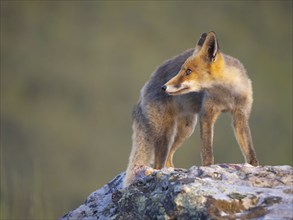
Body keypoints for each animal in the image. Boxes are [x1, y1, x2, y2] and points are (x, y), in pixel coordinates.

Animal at [123, 30, 258, 186]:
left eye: (188, 71)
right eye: (181, 70)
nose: (163, 87)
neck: (226, 95)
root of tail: (147, 85)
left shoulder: (240, 116)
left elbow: (250, 151)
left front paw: (255, 167)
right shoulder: (207, 114)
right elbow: (207, 151)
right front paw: (208, 169)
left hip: (185, 130)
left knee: (169, 157)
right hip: (166, 134)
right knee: (159, 164)